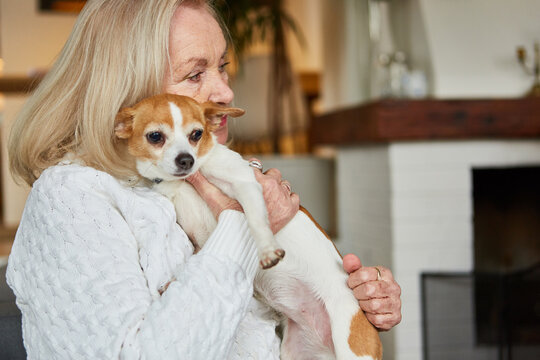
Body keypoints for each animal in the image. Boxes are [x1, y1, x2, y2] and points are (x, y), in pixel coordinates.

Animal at [116, 94, 382, 358]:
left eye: (196, 134)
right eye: (155, 136)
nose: (186, 160)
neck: (185, 182)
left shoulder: (245, 185)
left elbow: (255, 221)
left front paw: (267, 250)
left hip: (349, 340)